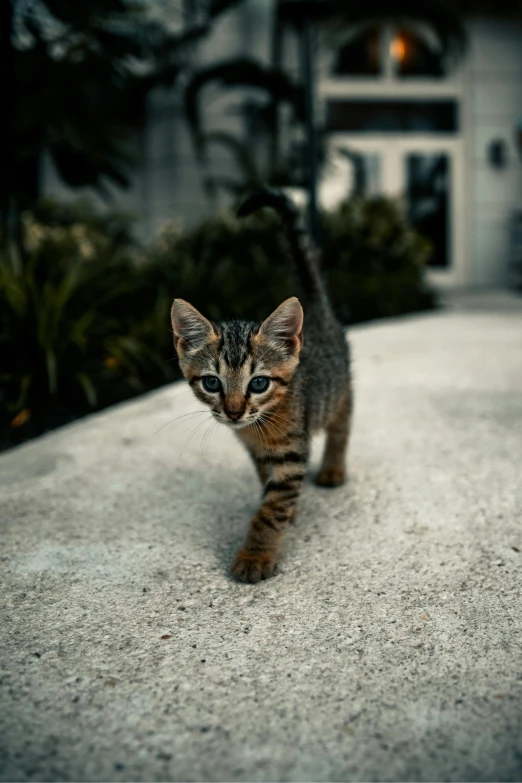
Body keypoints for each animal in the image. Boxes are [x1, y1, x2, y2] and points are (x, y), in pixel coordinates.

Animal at [170, 190, 350, 580]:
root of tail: (317, 308)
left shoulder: (292, 453)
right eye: (212, 383)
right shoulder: (257, 453)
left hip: (341, 392)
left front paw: (255, 555)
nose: (235, 412)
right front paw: (283, 513)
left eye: (259, 383)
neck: (259, 425)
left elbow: (270, 511)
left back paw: (333, 467)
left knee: (342, 426)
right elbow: (268, 489)